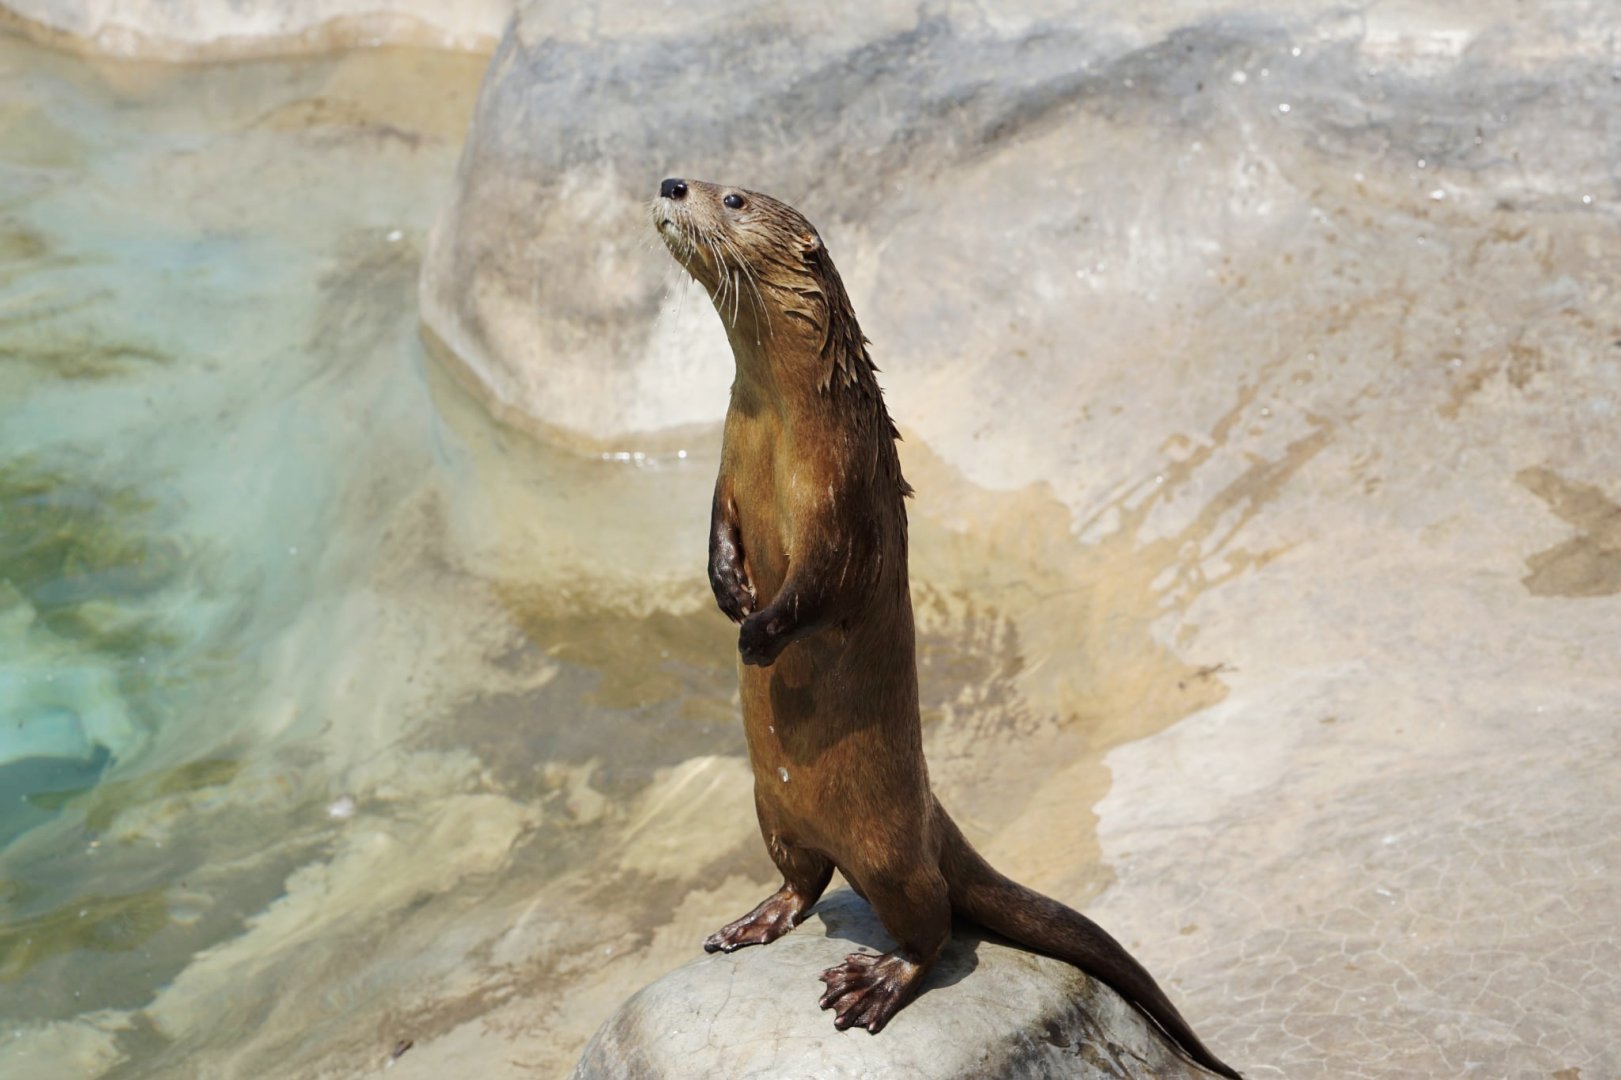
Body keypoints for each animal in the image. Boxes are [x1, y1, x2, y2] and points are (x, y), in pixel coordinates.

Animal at [651, 177, 1241, 1079]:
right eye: (705, 182)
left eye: (735, 197)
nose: (672, 183)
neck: (780, 427)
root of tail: (936, 820)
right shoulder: (726, 463)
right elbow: (717, 525)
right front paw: (728, 592)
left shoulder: (844, 501)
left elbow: (821, 586)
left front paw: (760, 630)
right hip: (772, 810)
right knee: (803, 880)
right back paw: (751, 922)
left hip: (890, 855)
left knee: (931, 925)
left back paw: (873, 982)